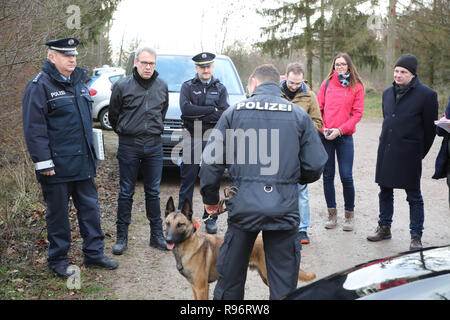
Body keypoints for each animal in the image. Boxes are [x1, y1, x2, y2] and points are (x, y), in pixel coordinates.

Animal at [163, 196, 314, 298]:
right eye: (167, 223)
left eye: (180, 224)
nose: (168, 240)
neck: (188, 246)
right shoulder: (194, 287)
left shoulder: (202, 288)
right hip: (265, 277)